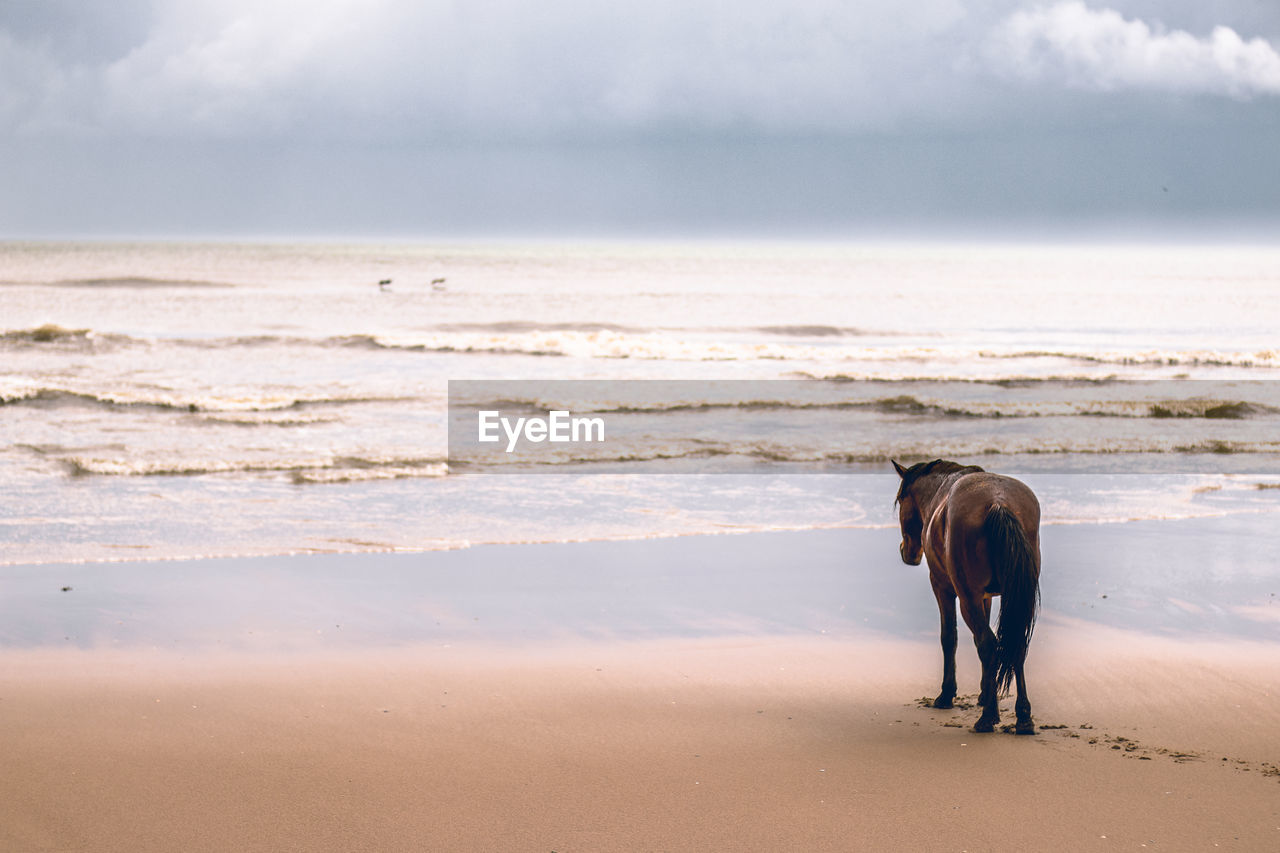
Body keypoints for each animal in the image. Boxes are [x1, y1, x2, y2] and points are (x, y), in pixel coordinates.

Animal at [890, 458, 1039, 732]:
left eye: (900, 500)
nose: (907, 552)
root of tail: (998, 502)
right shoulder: (985, 597)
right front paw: (985, 693)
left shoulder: (942, 587)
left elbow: (949, 637)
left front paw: (947, 695)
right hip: (1015, 597)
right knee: (1015, 644)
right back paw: (1023, 717)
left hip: (967, 598)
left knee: (988, 643)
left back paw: (988, 718)